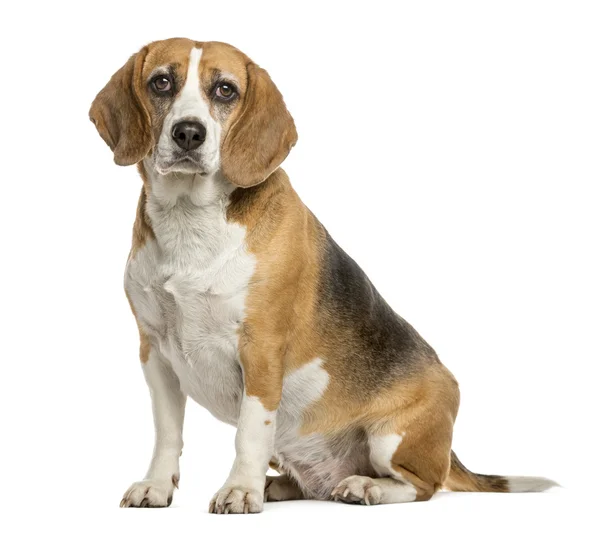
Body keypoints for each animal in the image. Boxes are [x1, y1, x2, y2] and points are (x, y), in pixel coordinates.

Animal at [90, 37, 556, 516]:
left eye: (225, 90)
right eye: (161, 82)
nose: (188, 133)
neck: (191, 223)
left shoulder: (261, 352)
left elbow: (249, 433)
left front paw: (239, 490)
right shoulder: (155, 352)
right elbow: (168, 433)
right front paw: (156, 485)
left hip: (391, 439)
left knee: (424, 485)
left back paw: (365, 487)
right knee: (310, 484)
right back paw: (279, 486)